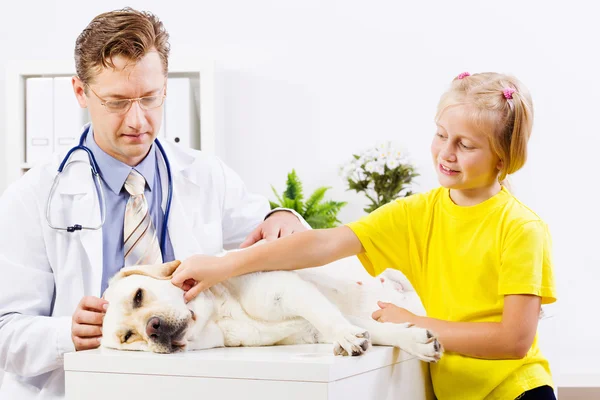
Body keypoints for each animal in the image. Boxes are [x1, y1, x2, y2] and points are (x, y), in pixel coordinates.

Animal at [101, 256, 442, 362]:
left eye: (139, 296)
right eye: (129, 336)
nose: (153, 327)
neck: (221, 317)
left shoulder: (286, 290)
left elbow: (330, 318)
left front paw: (346, 336)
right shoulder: (310, 330)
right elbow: (375, 328)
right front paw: (415, 341)